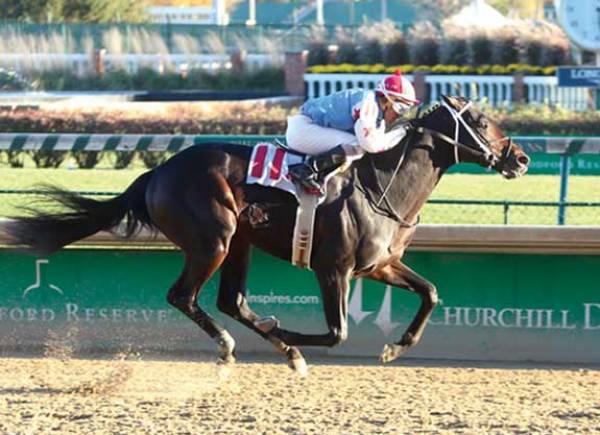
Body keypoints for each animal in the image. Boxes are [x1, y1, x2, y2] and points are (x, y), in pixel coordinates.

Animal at [3, 95, 528, 374]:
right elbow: (336, 332)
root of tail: (158, 172)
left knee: (231, 300)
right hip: (213, 239)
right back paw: (237, 345)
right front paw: (291, 331)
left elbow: (431, 292)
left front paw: (396, 345)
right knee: (183, 296)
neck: (384, 183)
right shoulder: (333, 269)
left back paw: (283, 349)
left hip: (239, 244)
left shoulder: (379, 264)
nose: (520, 158)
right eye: (481, 122)